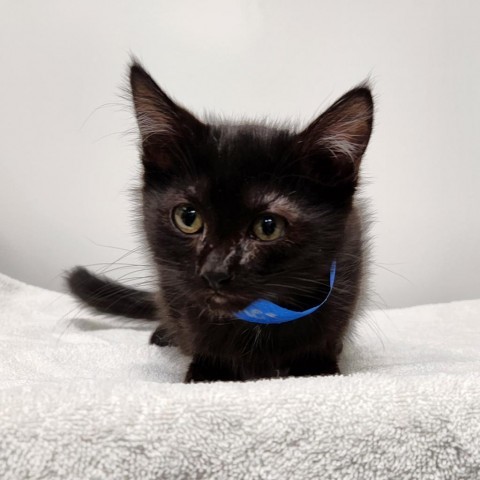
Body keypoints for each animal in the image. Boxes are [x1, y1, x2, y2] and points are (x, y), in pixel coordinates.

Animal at [67, 62, 376, 382]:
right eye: (187, 217)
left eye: (268, 226)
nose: (214, 272)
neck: (258, 320)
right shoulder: (175, 287)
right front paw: (209, 369)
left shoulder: (346, 277)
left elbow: (322, 338)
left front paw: (316, 366)